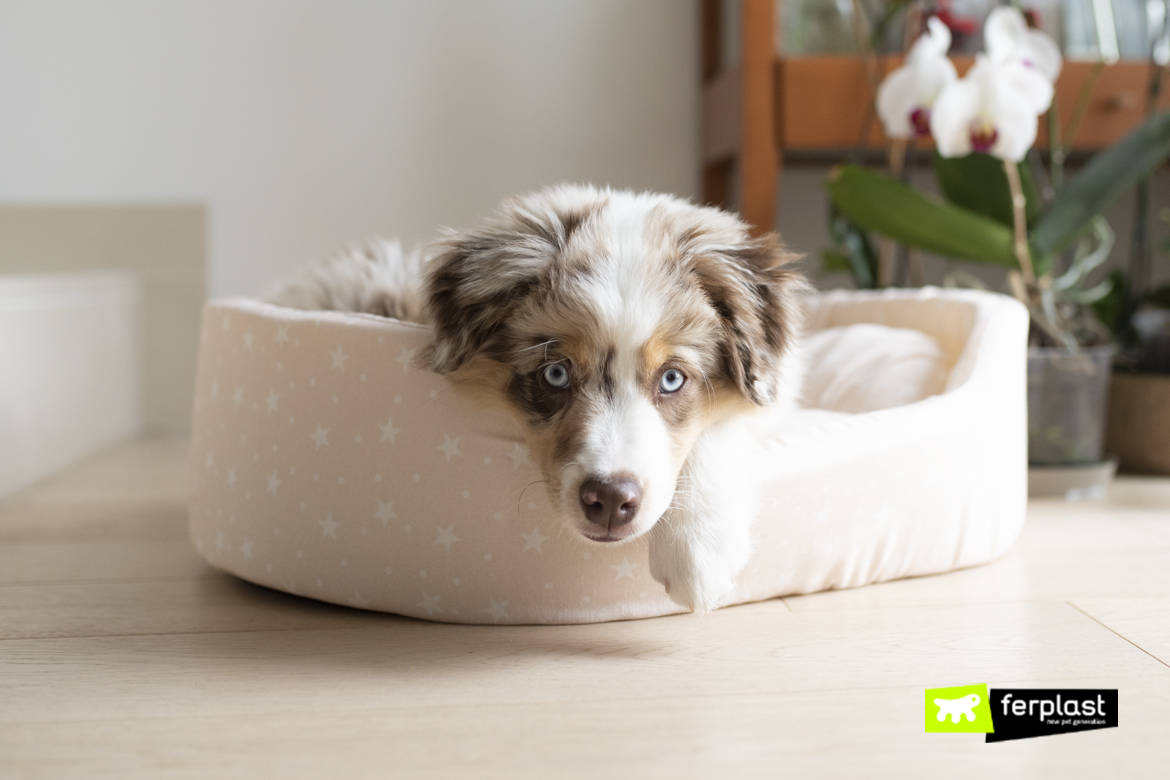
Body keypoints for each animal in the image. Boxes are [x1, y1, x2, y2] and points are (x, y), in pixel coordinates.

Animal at [269, 185, 809, 612]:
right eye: (555, 373)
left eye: (672, 379)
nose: (610, 501)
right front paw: (699, 555)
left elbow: (726, 421)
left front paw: (699, 551)